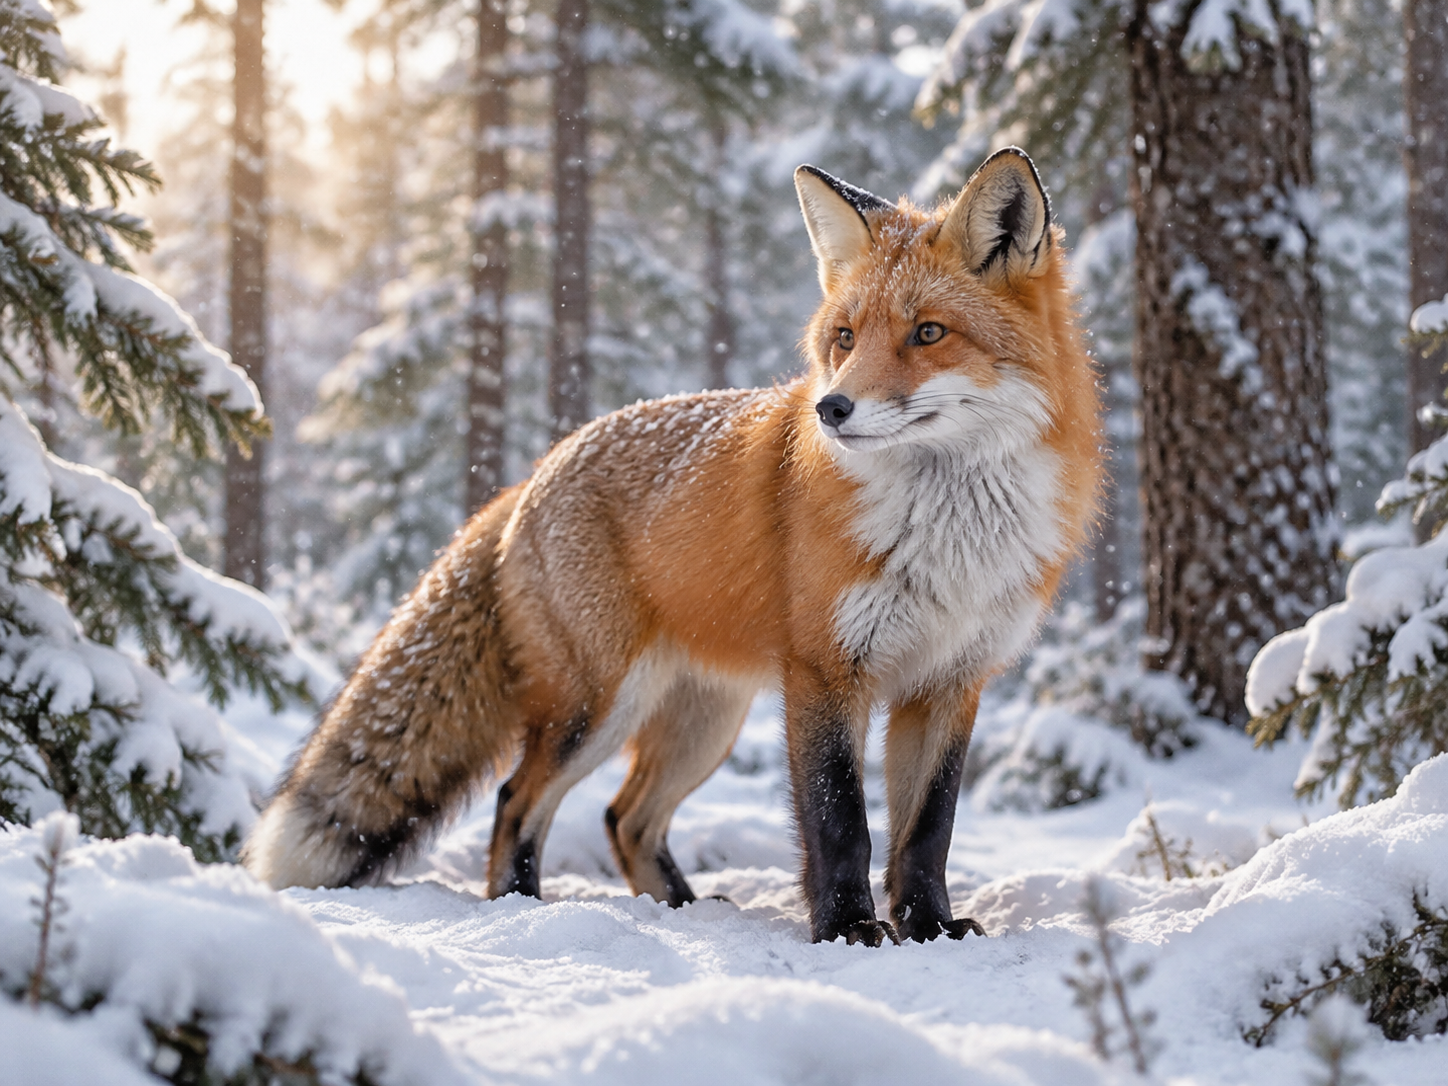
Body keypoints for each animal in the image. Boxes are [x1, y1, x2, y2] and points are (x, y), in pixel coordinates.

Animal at [244, 147, 1101, 946]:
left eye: (928, 333)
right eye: (845, 337)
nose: (830, 409)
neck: (948, 536)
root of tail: (536, 471)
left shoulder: (952, 682)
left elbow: (927, 831)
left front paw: (928, 927)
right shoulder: (826, 673)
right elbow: (840, 823)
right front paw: (848, 928)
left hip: (703, 723)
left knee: (625, 818)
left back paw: (684, 911)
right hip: (597, 705)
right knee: (519, 799)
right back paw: (523, 904)